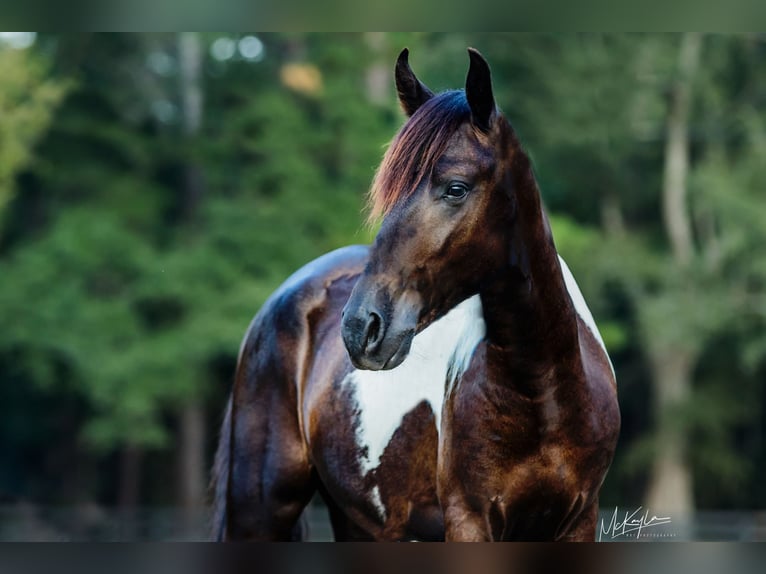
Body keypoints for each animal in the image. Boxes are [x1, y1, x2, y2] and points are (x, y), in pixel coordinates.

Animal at [212, 47, 624, 544]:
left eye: (456, 188)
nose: (361, 327)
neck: (541, 394)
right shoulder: (469, 520)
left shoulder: (579, 520)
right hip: (259, 510)